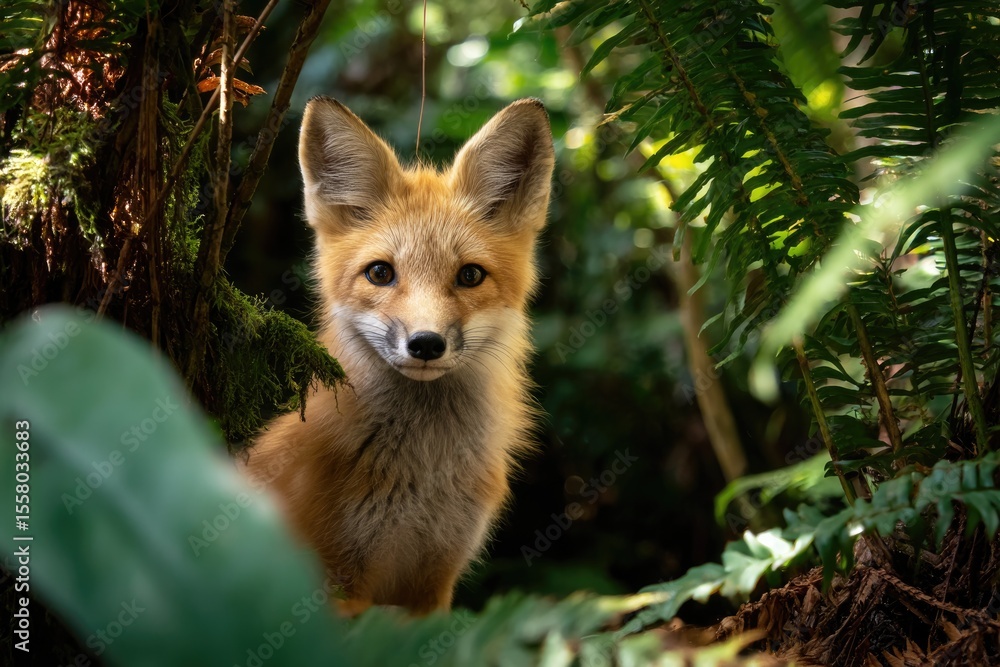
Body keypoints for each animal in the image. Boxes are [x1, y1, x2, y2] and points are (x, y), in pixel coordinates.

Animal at [243, 96, 555, 615]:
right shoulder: (339, 584)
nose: (426, 344)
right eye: (380, 273)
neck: (423, 476)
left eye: (470, 275)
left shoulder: (433, 583)